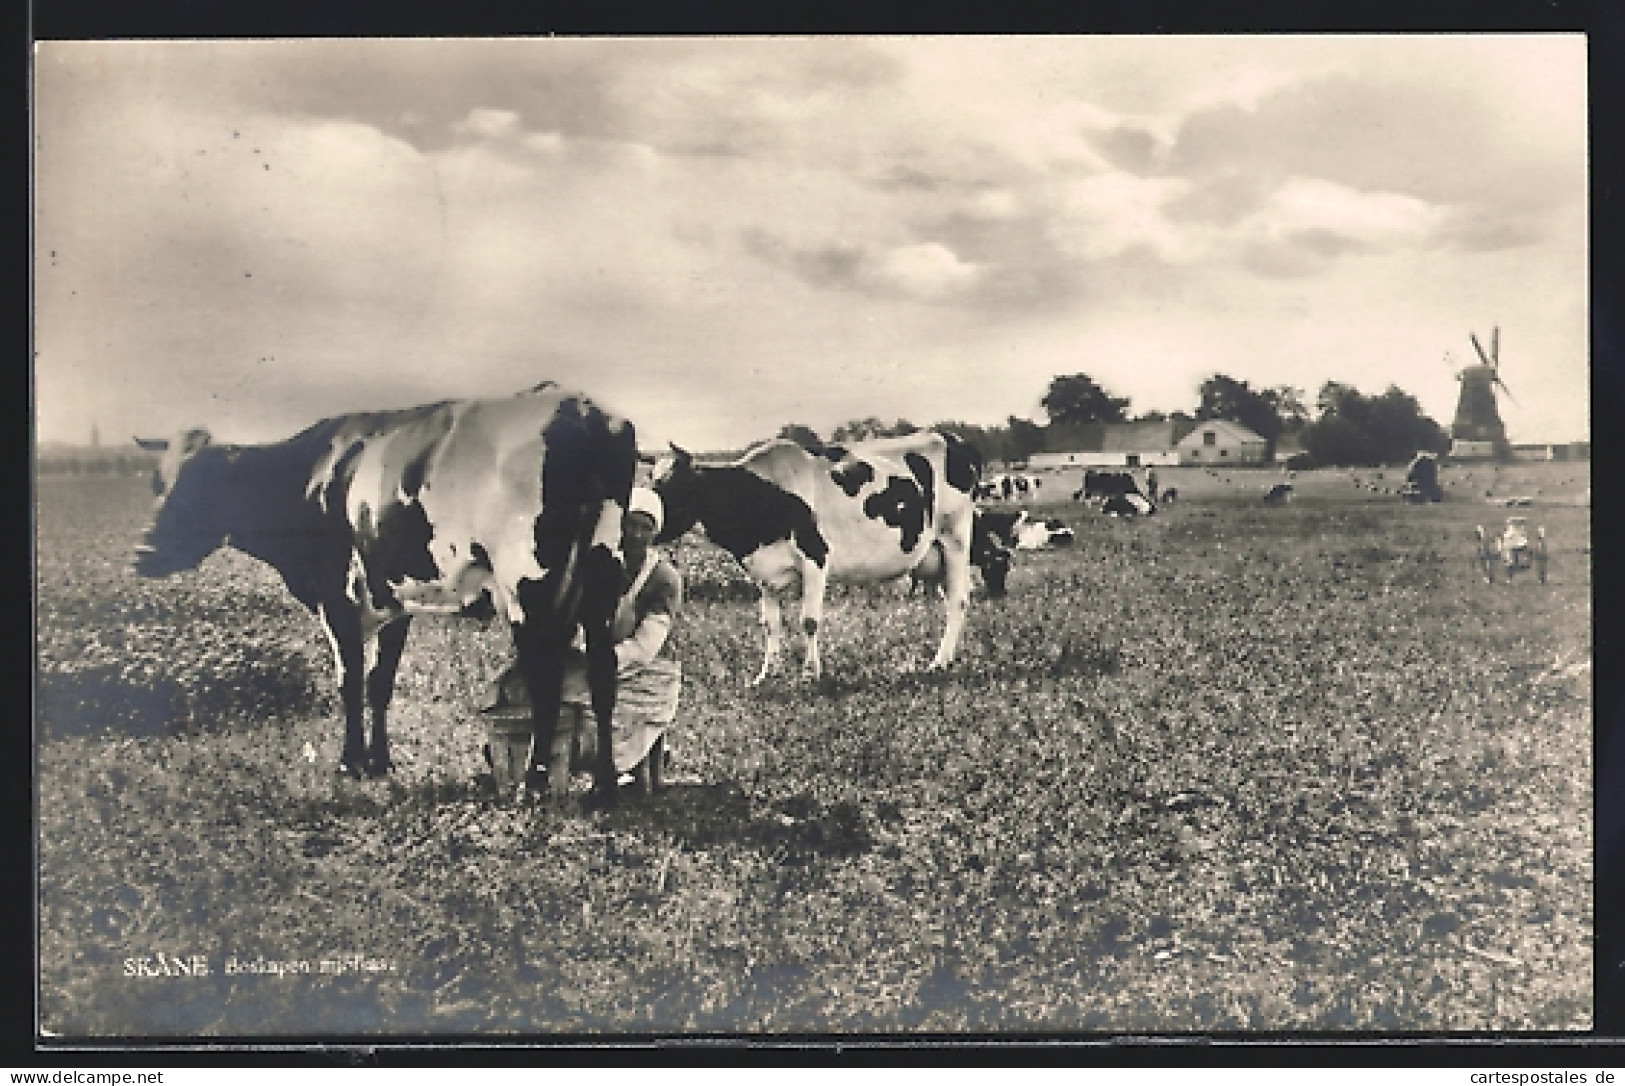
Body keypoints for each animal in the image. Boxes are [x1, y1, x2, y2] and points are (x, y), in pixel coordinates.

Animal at [130, 382, 637, 796]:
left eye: (203, 483)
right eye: (157, 481)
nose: (142, 552)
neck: (311, 478)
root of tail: (581, 406)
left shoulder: (337, 596)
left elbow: (350, 680)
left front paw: (349, 763)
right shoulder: (393, 601)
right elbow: (380, 683)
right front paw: (379, 763)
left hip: (527, 584)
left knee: (546, 676)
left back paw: (533, 783)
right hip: (602, 574)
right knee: (603, 671)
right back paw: (605, 785)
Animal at [653, 429, 981, 679]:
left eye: (674, 489)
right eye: (652, 484)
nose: (646, 526)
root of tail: (950, 438)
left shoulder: (815, 557)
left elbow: (808, 620)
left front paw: (810, 672)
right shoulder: (764, 572)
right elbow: (770, 624)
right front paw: (766, 674)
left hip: (955, 539)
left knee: (958, 600)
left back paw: (940, 662)